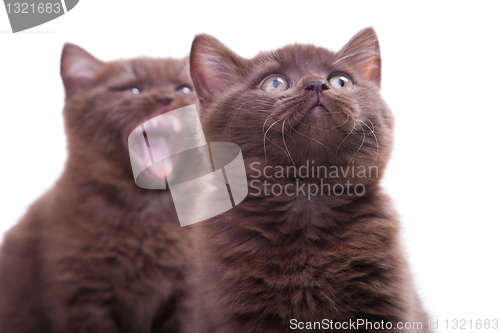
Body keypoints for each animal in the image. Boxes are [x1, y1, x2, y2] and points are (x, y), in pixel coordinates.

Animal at [0, 44, 196, 332]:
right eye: (132, 89)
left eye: (183, 89)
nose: (165, 98)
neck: (148, 211)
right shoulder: (81, 295)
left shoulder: (187, 295)